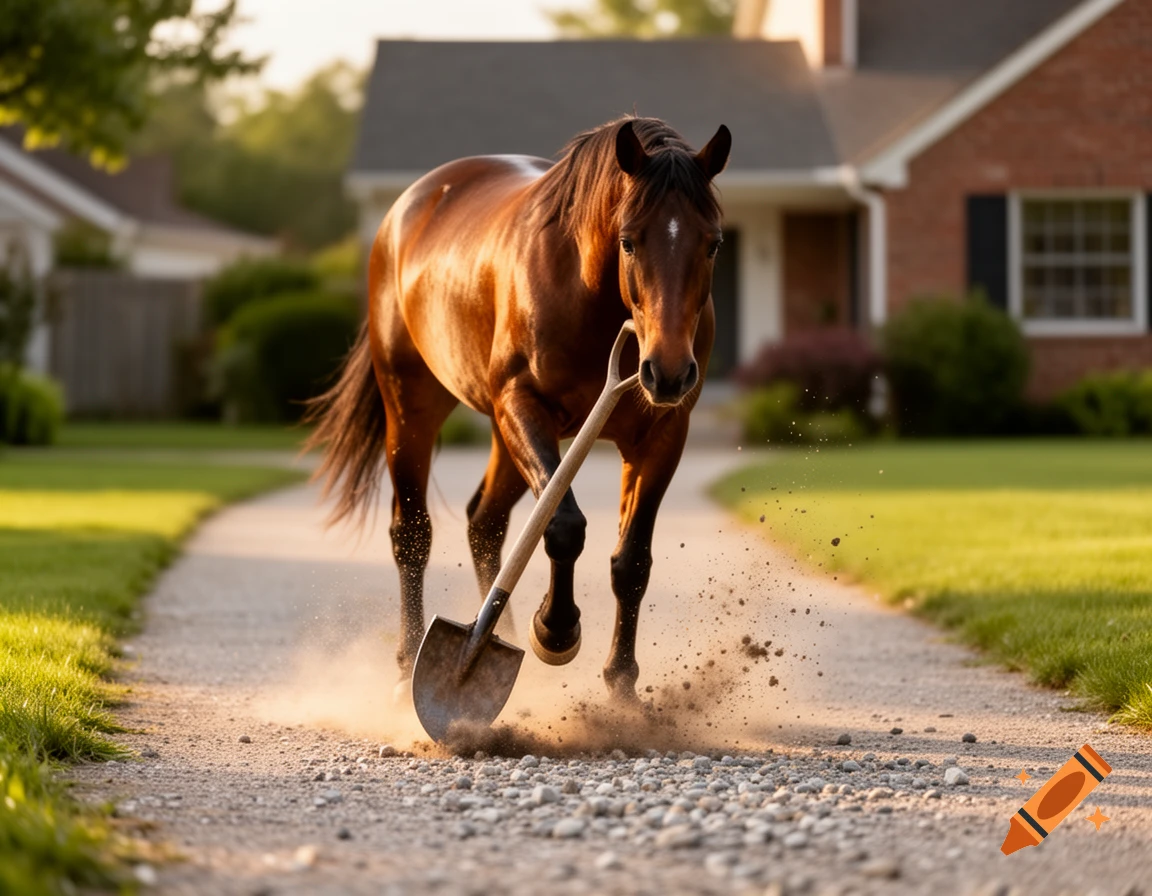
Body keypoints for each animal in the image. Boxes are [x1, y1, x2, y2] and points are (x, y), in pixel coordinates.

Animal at [306, 116, 731, 702]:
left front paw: (622, 688)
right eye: (628, 241)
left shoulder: (663, 433)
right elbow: (562, 524)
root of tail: (407, 209)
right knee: (411, 534)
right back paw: (409, 660)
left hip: (503, 437)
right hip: (412, 409)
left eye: (713, 244)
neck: (585, 290)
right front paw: (555, 630)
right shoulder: (523, 405)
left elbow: (632, 562)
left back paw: (492, 638)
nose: (666, 372)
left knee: (484, 523)